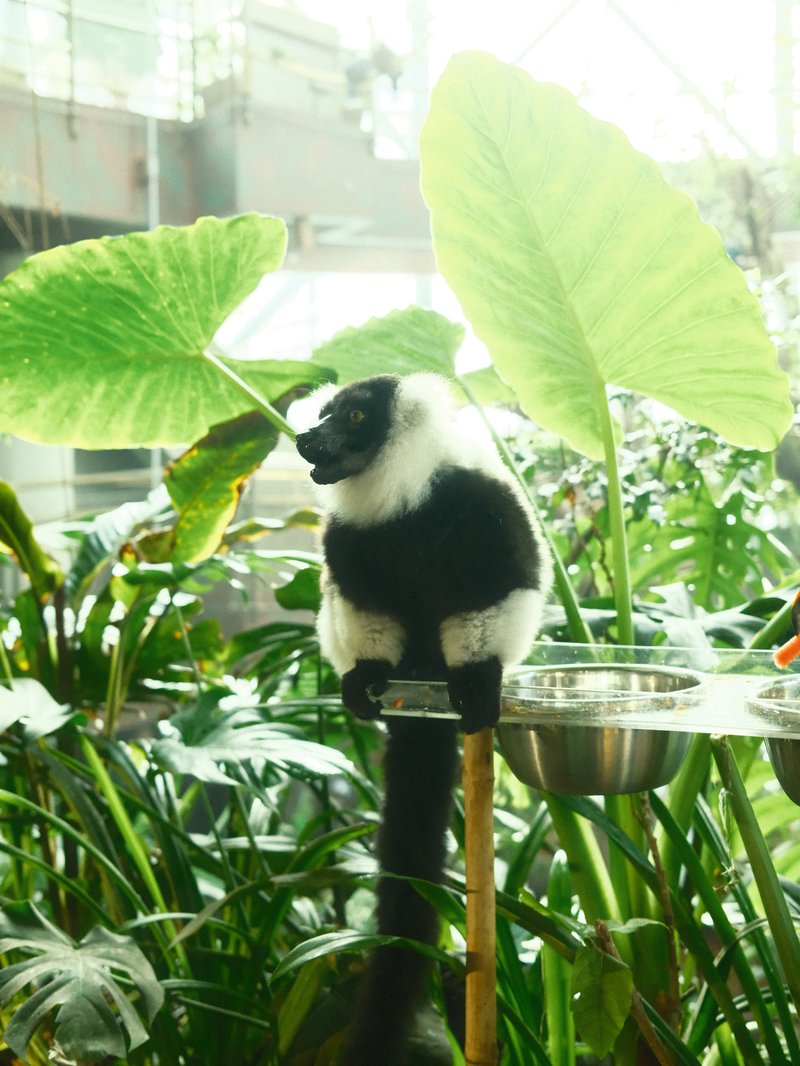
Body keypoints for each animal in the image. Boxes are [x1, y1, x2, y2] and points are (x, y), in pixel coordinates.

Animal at [295, 372, 552, 1064]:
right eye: (326, 413)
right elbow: (357, 599)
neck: (404, 498)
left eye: (355, 416)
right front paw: (364, 676)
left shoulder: (482, 502)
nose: (305, 437)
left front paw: (478, 679)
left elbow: (500, 585)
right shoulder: (348, 536)